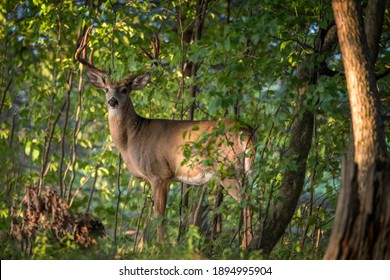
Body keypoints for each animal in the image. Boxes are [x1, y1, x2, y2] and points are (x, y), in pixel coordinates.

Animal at [76, 26, 256, 248]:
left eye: (125, 89)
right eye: (106, 89)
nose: (112, 101)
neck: (131, 138)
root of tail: (246, 130)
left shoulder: (158, 173)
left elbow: (159, 215)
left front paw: (161, 247)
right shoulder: (165, 178)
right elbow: (154, 217)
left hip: (226, 166)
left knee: (247, 201)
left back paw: (246, 246)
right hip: (240, 168)